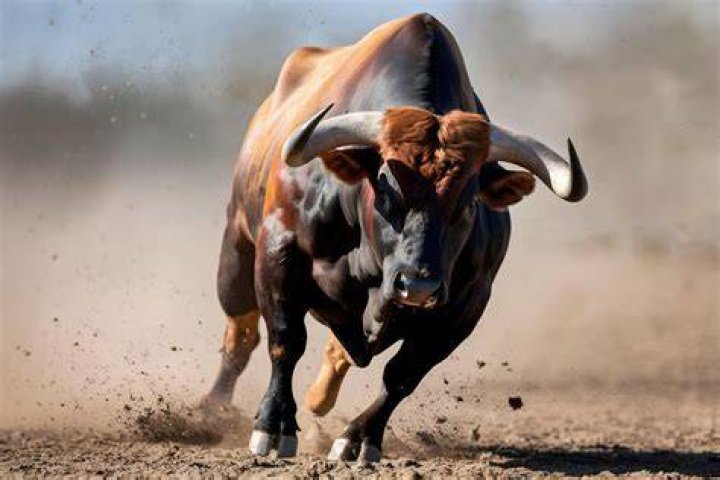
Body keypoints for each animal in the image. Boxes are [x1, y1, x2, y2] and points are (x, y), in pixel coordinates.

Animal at [201, 13, 587, 462]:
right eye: (386, 192)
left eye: (470, 203)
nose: (417, 286)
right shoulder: (279, 253)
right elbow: (286, 340)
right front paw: (274, 425)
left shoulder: (463, 306)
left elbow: (402, 376)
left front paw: (358, 438)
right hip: (236, 249)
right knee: (241, 334)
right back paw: (213, 408)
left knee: (341, 350)